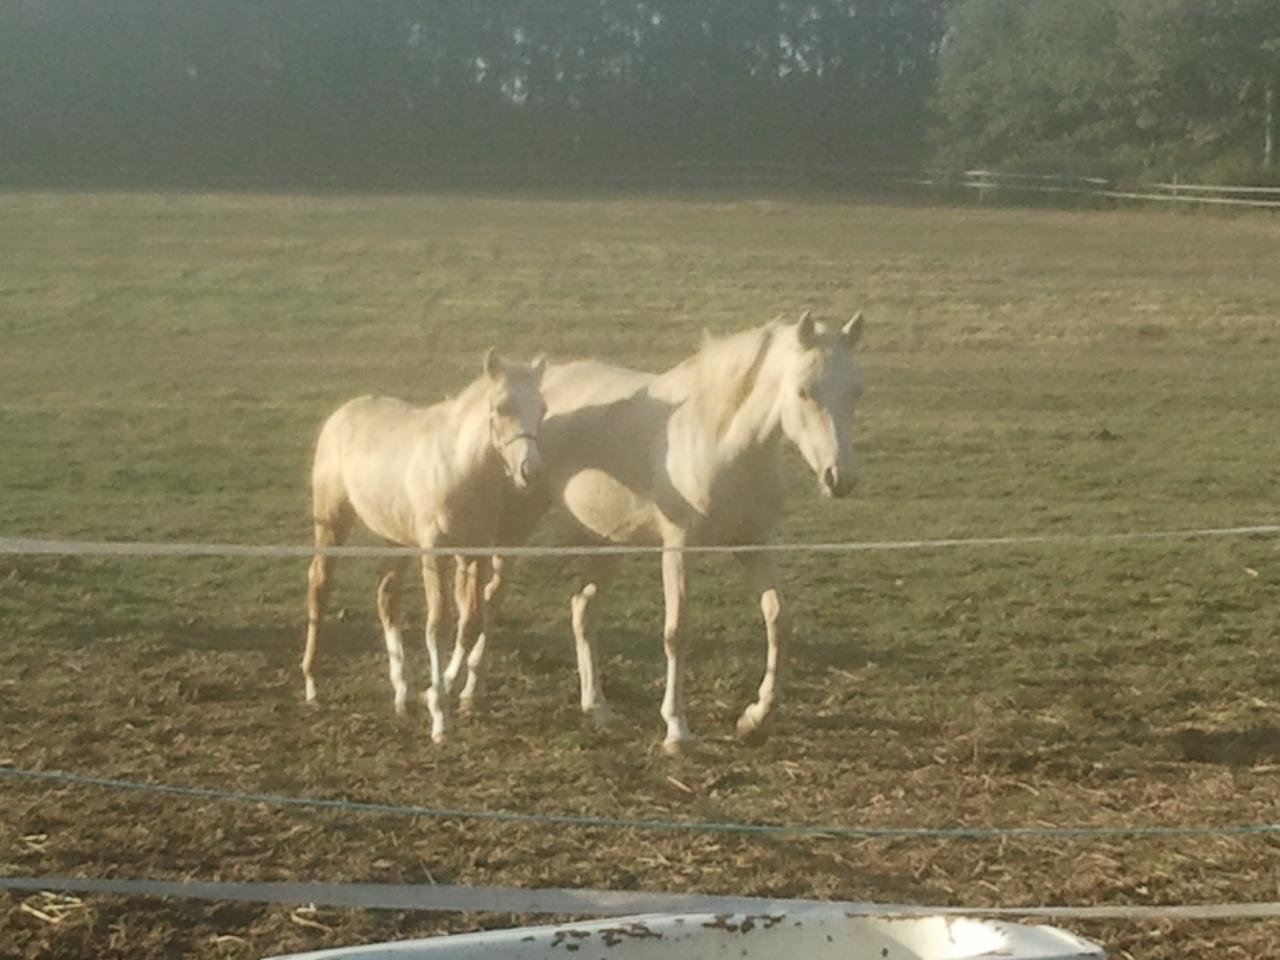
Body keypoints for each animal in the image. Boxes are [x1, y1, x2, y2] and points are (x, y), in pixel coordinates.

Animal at [303, 350, 545, 742]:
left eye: (542, 408)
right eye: (502, 406)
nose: (531, 472)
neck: (459, 466)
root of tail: (343, 413)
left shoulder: (475, 552)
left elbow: (470, 622)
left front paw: (435, 692)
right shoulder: (434, 553)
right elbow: (438, 624)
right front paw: (439, 717)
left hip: (395, 537)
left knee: (386, 595)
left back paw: (402, 693)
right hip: (332, 522)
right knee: (320, 585)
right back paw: (312, 684)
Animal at [455, 312, 865, 757]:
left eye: (856, 392)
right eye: (804, 391)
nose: (839, 479)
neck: (719, 440)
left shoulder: (756, 544)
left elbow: (778, 621)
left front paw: (754, 720)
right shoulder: (678, 547)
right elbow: (677, 631)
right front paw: (677, 731)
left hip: (606, 542)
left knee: (582, 609)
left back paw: (597, 708)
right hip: (517, 522)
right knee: (491, 598)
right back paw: (472, 694)